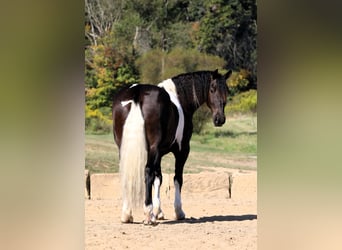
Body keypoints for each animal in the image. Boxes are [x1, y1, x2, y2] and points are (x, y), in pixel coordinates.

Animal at [112, 69, 232, 225]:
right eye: (212, 89)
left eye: (227, 90)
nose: (220, 119)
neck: (180, 98)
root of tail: (137, 93)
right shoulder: (182, 150)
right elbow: (177, 178)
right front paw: (177, 212)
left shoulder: (158, 153)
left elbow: (159, 178)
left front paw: (158, 212)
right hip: (154, 148)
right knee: (148, 172)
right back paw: (147, 213)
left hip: (124, 147)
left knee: (128, 173)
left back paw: (127, 214)